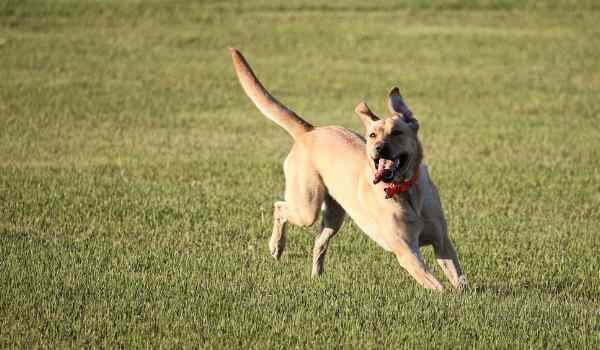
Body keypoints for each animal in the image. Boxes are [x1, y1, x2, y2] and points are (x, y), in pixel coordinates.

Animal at [227, 48, 466, 290]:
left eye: (397, 132)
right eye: (372, 135)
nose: (379, 148)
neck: (406, 191)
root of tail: (309, 131)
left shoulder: (442, 242)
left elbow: (459, 279)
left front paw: (464, 294)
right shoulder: (407, 252)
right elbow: (437, 286)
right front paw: (445, 295)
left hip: (334, 216)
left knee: (319, 242)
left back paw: (316, 277)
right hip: (307, 207)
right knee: (280, 207)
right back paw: (276, 246)